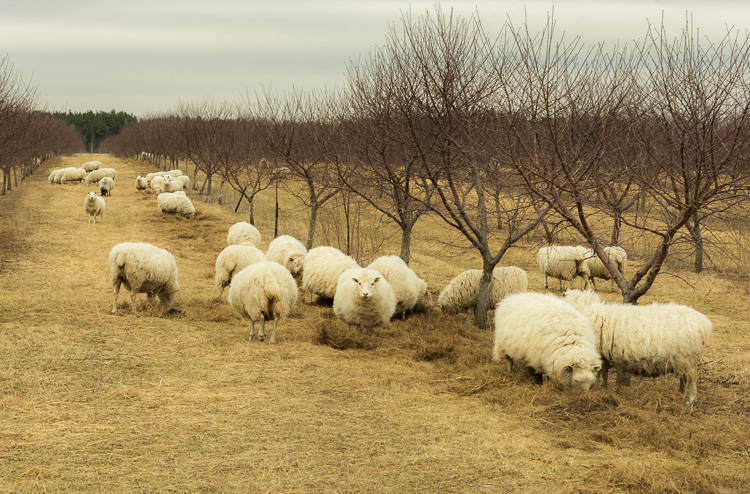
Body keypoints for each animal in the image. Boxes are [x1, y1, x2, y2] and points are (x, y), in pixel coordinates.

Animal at [563, 289, 713, 404]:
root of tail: (704, 323)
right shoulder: (604, 356)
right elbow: (603, 373)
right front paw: (604, 388)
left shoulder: (598, 354)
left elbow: (598, 373)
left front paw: (595, 387)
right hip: (682, 360)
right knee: (684, 378)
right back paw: (680, 394)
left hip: (688, 357)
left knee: (691, 379)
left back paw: (690, 400)